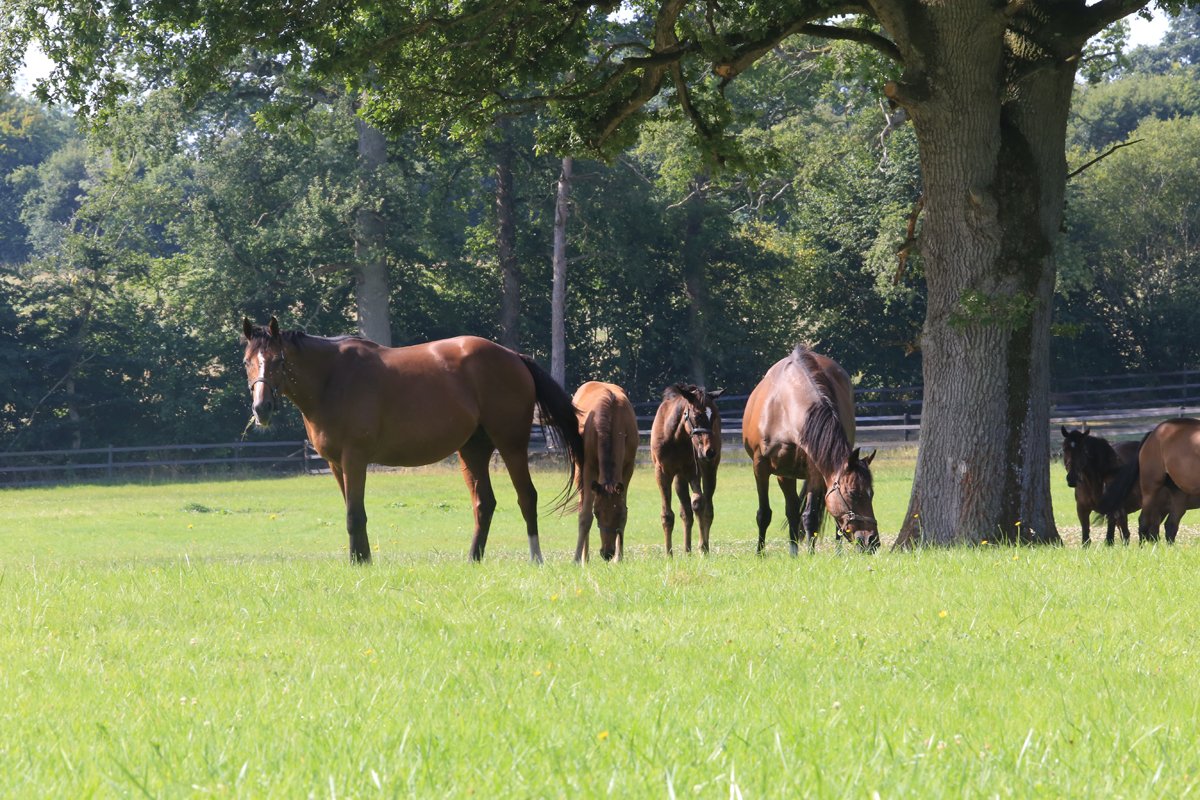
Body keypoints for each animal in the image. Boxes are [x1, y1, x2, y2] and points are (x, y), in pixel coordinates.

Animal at [240, 317, 585, 563]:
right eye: (247, 361)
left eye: (278, 360)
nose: (261, 408)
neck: (333, 379)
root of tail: (513, 356)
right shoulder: (336, 464)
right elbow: (352, 511)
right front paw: (362, 559)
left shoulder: (355, 459)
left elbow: (355, 514)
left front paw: (358, 562)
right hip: (473, 450)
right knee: (484, 503)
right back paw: (473, 559)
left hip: (511, 445)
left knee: (527, 497)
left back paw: (536, 558)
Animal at [572, 381, 639, 562]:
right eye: (597, 512)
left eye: (617, 515)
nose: (607, 553)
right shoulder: (589, 467)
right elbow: (585, 516)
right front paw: (577, 559)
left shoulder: (628, 468)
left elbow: (625, 509)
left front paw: (619, 558)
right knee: (581, 506)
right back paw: (585, 557)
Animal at [649, 383, 723, 555]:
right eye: (697, 415)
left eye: (714, 416)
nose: (710, 451)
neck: (675, 437)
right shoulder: (662, 473)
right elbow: (668, 515)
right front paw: (669, 554)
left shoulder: (692, 470)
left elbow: (698, 503)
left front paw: (702, 547)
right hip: (679, 478)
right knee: (686, 513)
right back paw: (687, 550)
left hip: (708, 471)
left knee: (707, 508)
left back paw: (703, 548)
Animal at [742, 346, 879, 553]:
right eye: (853, 493)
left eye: (871, 494)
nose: (872, 540)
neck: (784, 409)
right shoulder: (761, 467)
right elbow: (764, 514)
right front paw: (760, 554)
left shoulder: (815, 470)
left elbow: (811, 516)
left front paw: (811, 554)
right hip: (784, 474)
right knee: (791, 510)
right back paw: (793, 552)